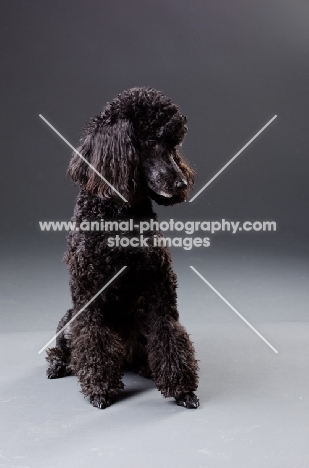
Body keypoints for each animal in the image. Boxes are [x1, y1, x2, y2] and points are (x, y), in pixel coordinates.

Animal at [46, 86, 200, 408]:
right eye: (152, 141)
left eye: (174, 145)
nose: (181, 183)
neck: (119, 213)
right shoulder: (88, 291)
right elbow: (92, 339)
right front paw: (100, 389)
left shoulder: (159, 285)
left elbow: (168, 332)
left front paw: (183, 390)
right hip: (68, 318)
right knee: (65, 347)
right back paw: (58, 365)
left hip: (139, 317)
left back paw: (145, 367)